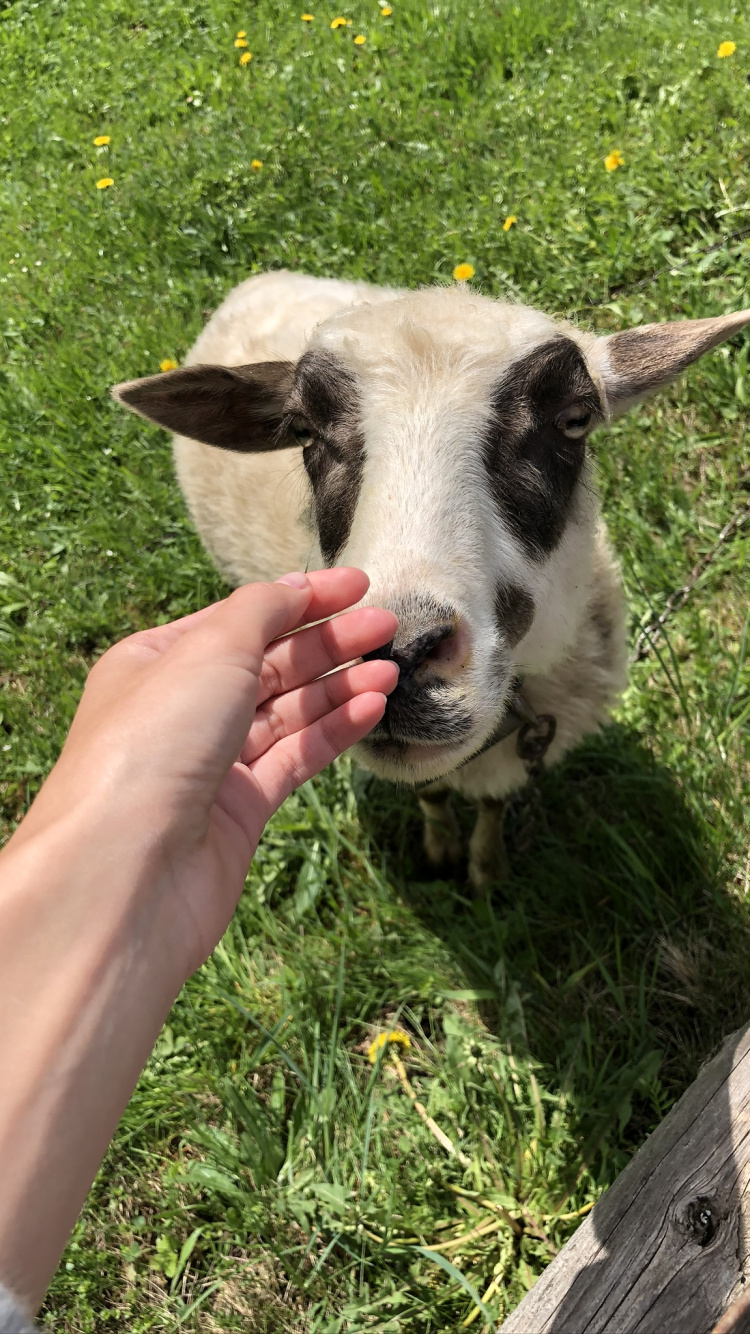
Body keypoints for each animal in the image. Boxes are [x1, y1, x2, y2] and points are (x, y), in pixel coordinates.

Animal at [113, 271, 749, 887]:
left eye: (574, 419)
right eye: (302, 430)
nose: (397, 650)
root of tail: (254, 282)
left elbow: (493, 806)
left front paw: (486, 869)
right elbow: (434, 793)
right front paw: (444, 849)